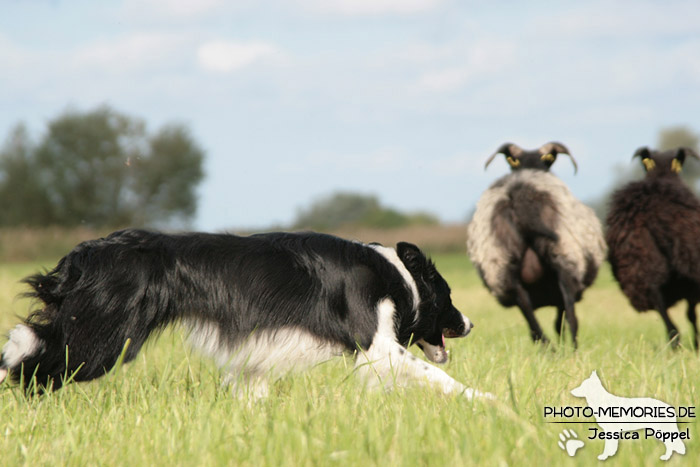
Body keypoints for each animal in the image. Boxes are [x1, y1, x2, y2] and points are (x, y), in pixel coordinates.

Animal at [0, 229, 490, 398]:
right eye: (447, 296)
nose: (470, 323)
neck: (397, 274)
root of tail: (83, 254)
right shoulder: (376, 346)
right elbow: (441, 377)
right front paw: (487, 401)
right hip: (101, 339)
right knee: (30, 356)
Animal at [468, 143, 604, 348]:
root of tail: (521, 195)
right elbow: (560, 321)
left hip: (503, 267)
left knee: (532, 323)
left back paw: (550, 349)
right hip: (565, 257)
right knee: (570, 319)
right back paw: (571, 350)